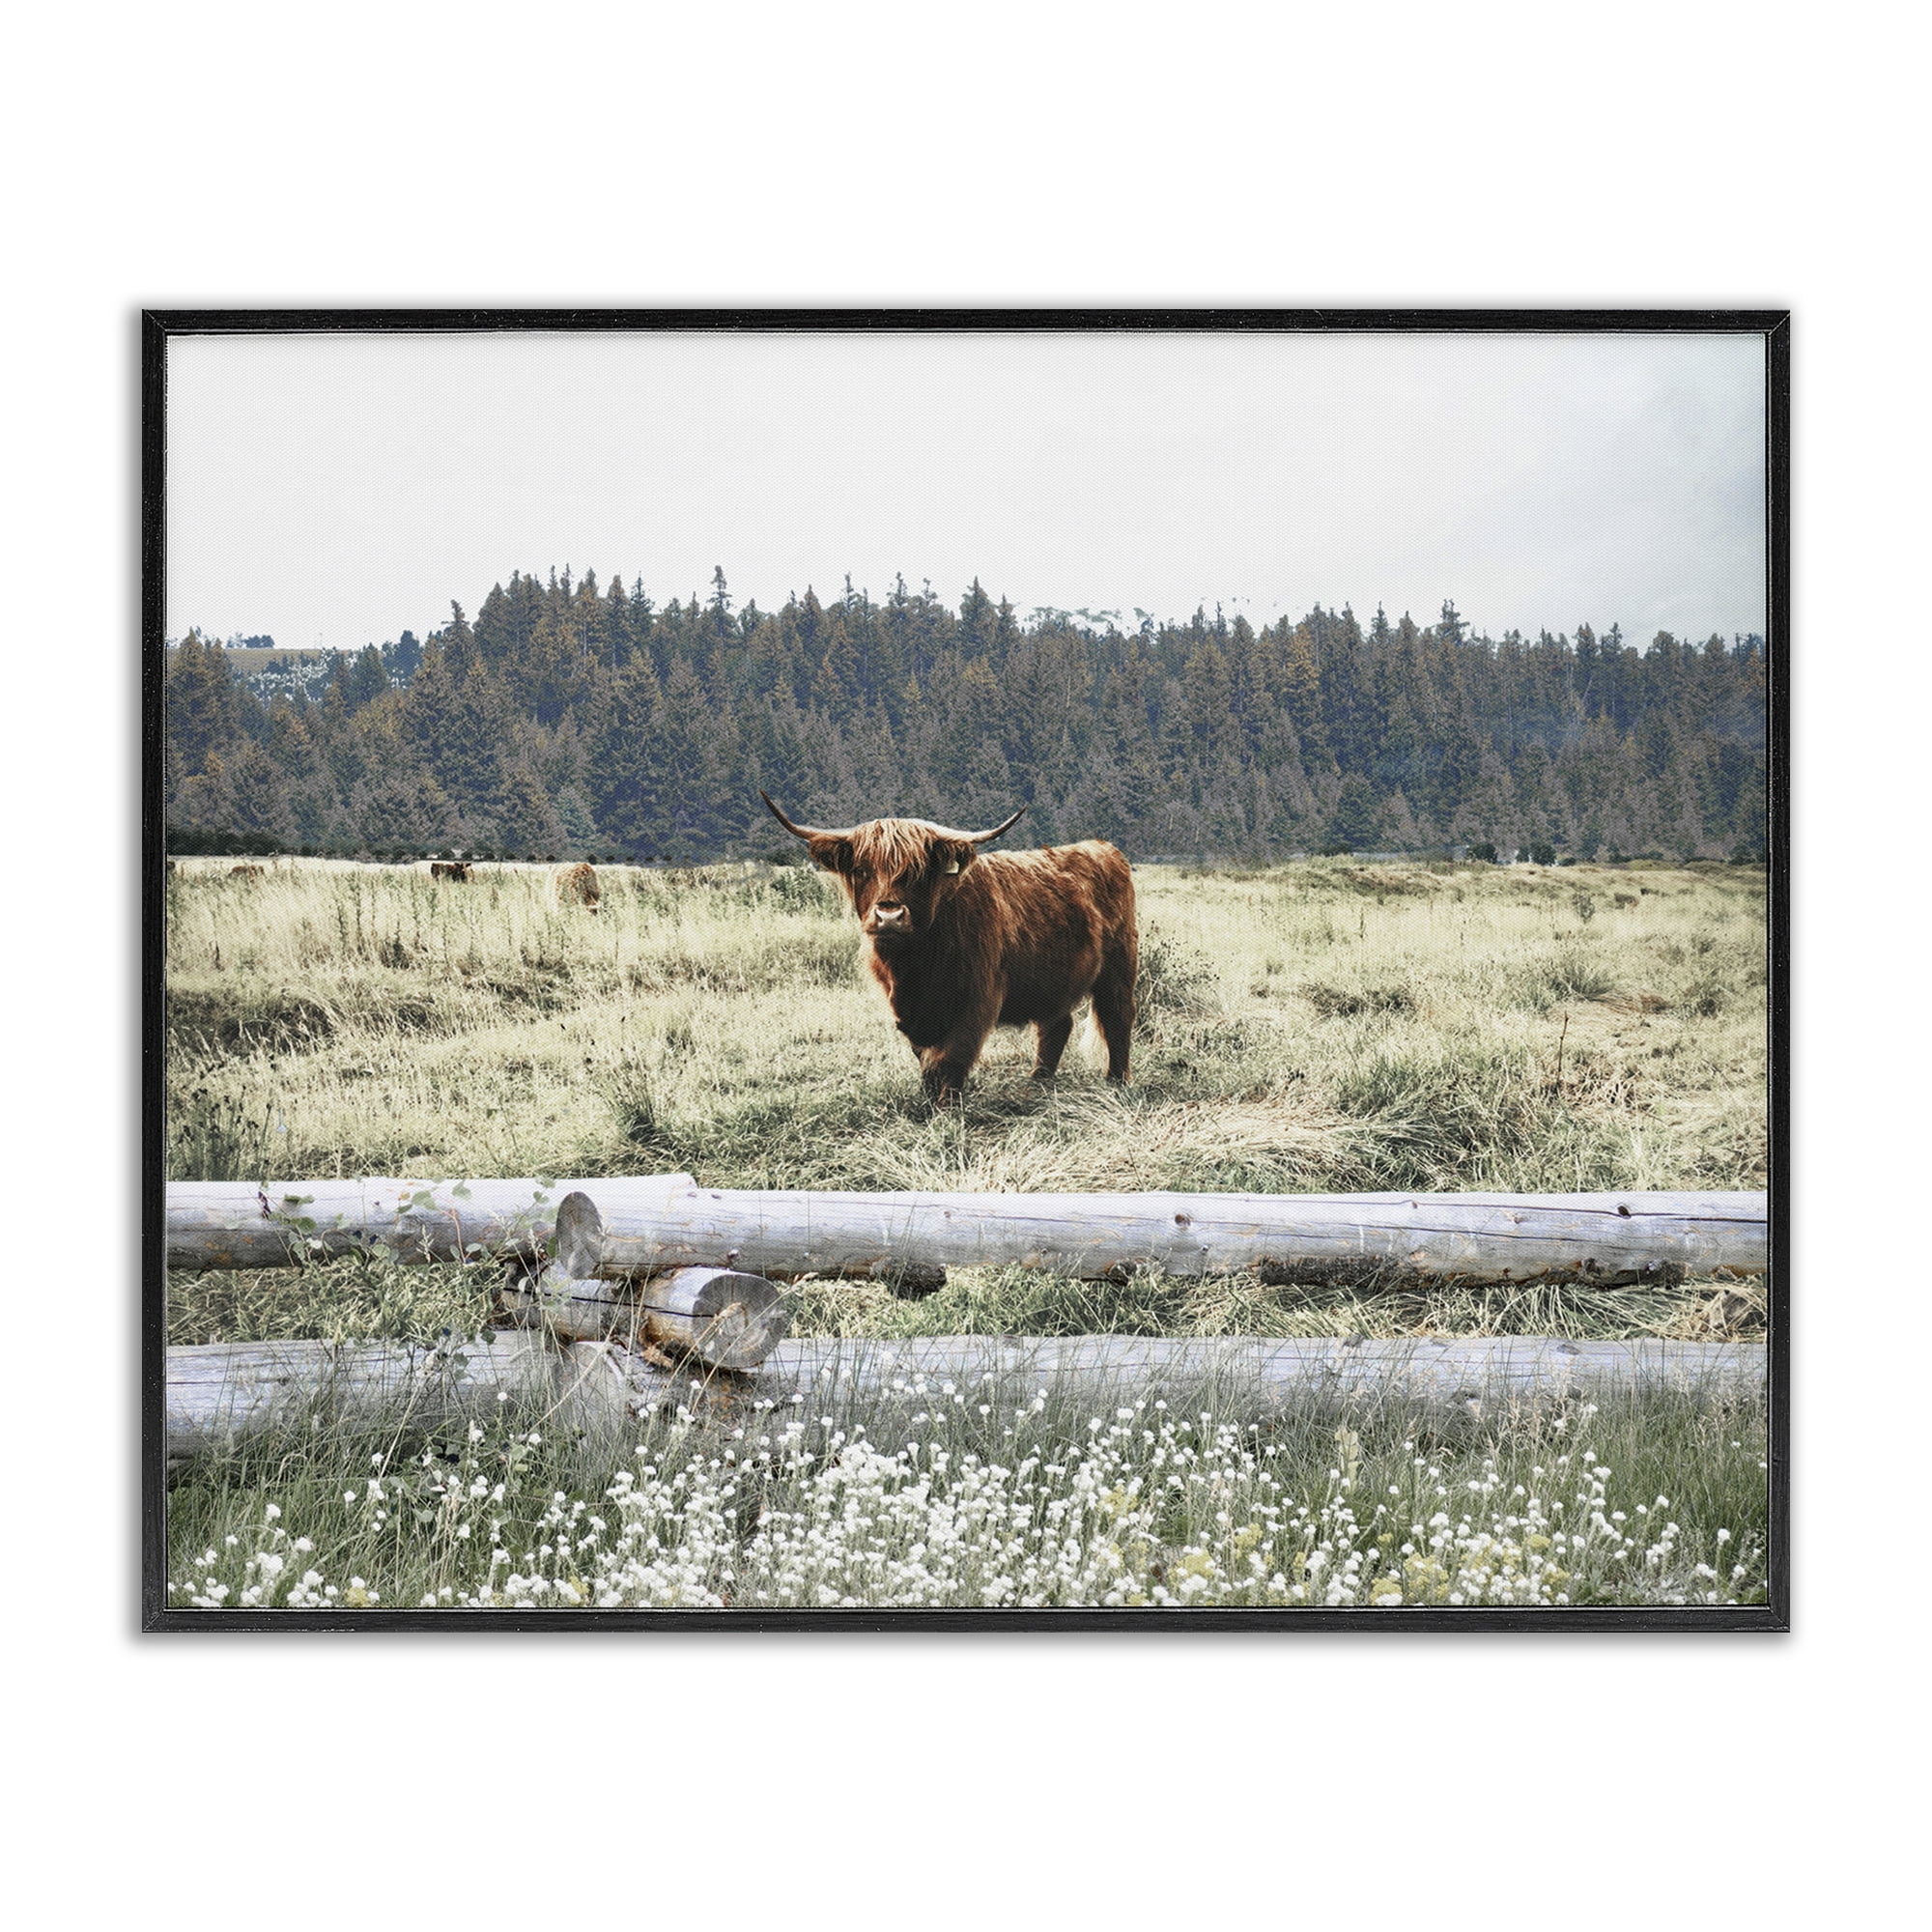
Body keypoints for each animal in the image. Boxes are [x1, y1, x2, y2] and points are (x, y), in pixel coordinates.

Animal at [760, 792, 1137, 1104]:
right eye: (862, 869)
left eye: (917, 872)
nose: (889, 916)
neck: (914, 966)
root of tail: (1103, 848)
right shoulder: (908, 1010)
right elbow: (926, 1058)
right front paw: (928, 1102)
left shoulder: (977, 999)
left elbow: (952, 1056)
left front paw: (947, 1108)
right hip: (1052, 978)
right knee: (1055, 1025)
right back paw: (1038, 1082)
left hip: (1119, 966)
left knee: (1117, 1018)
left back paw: (1116, 1083)